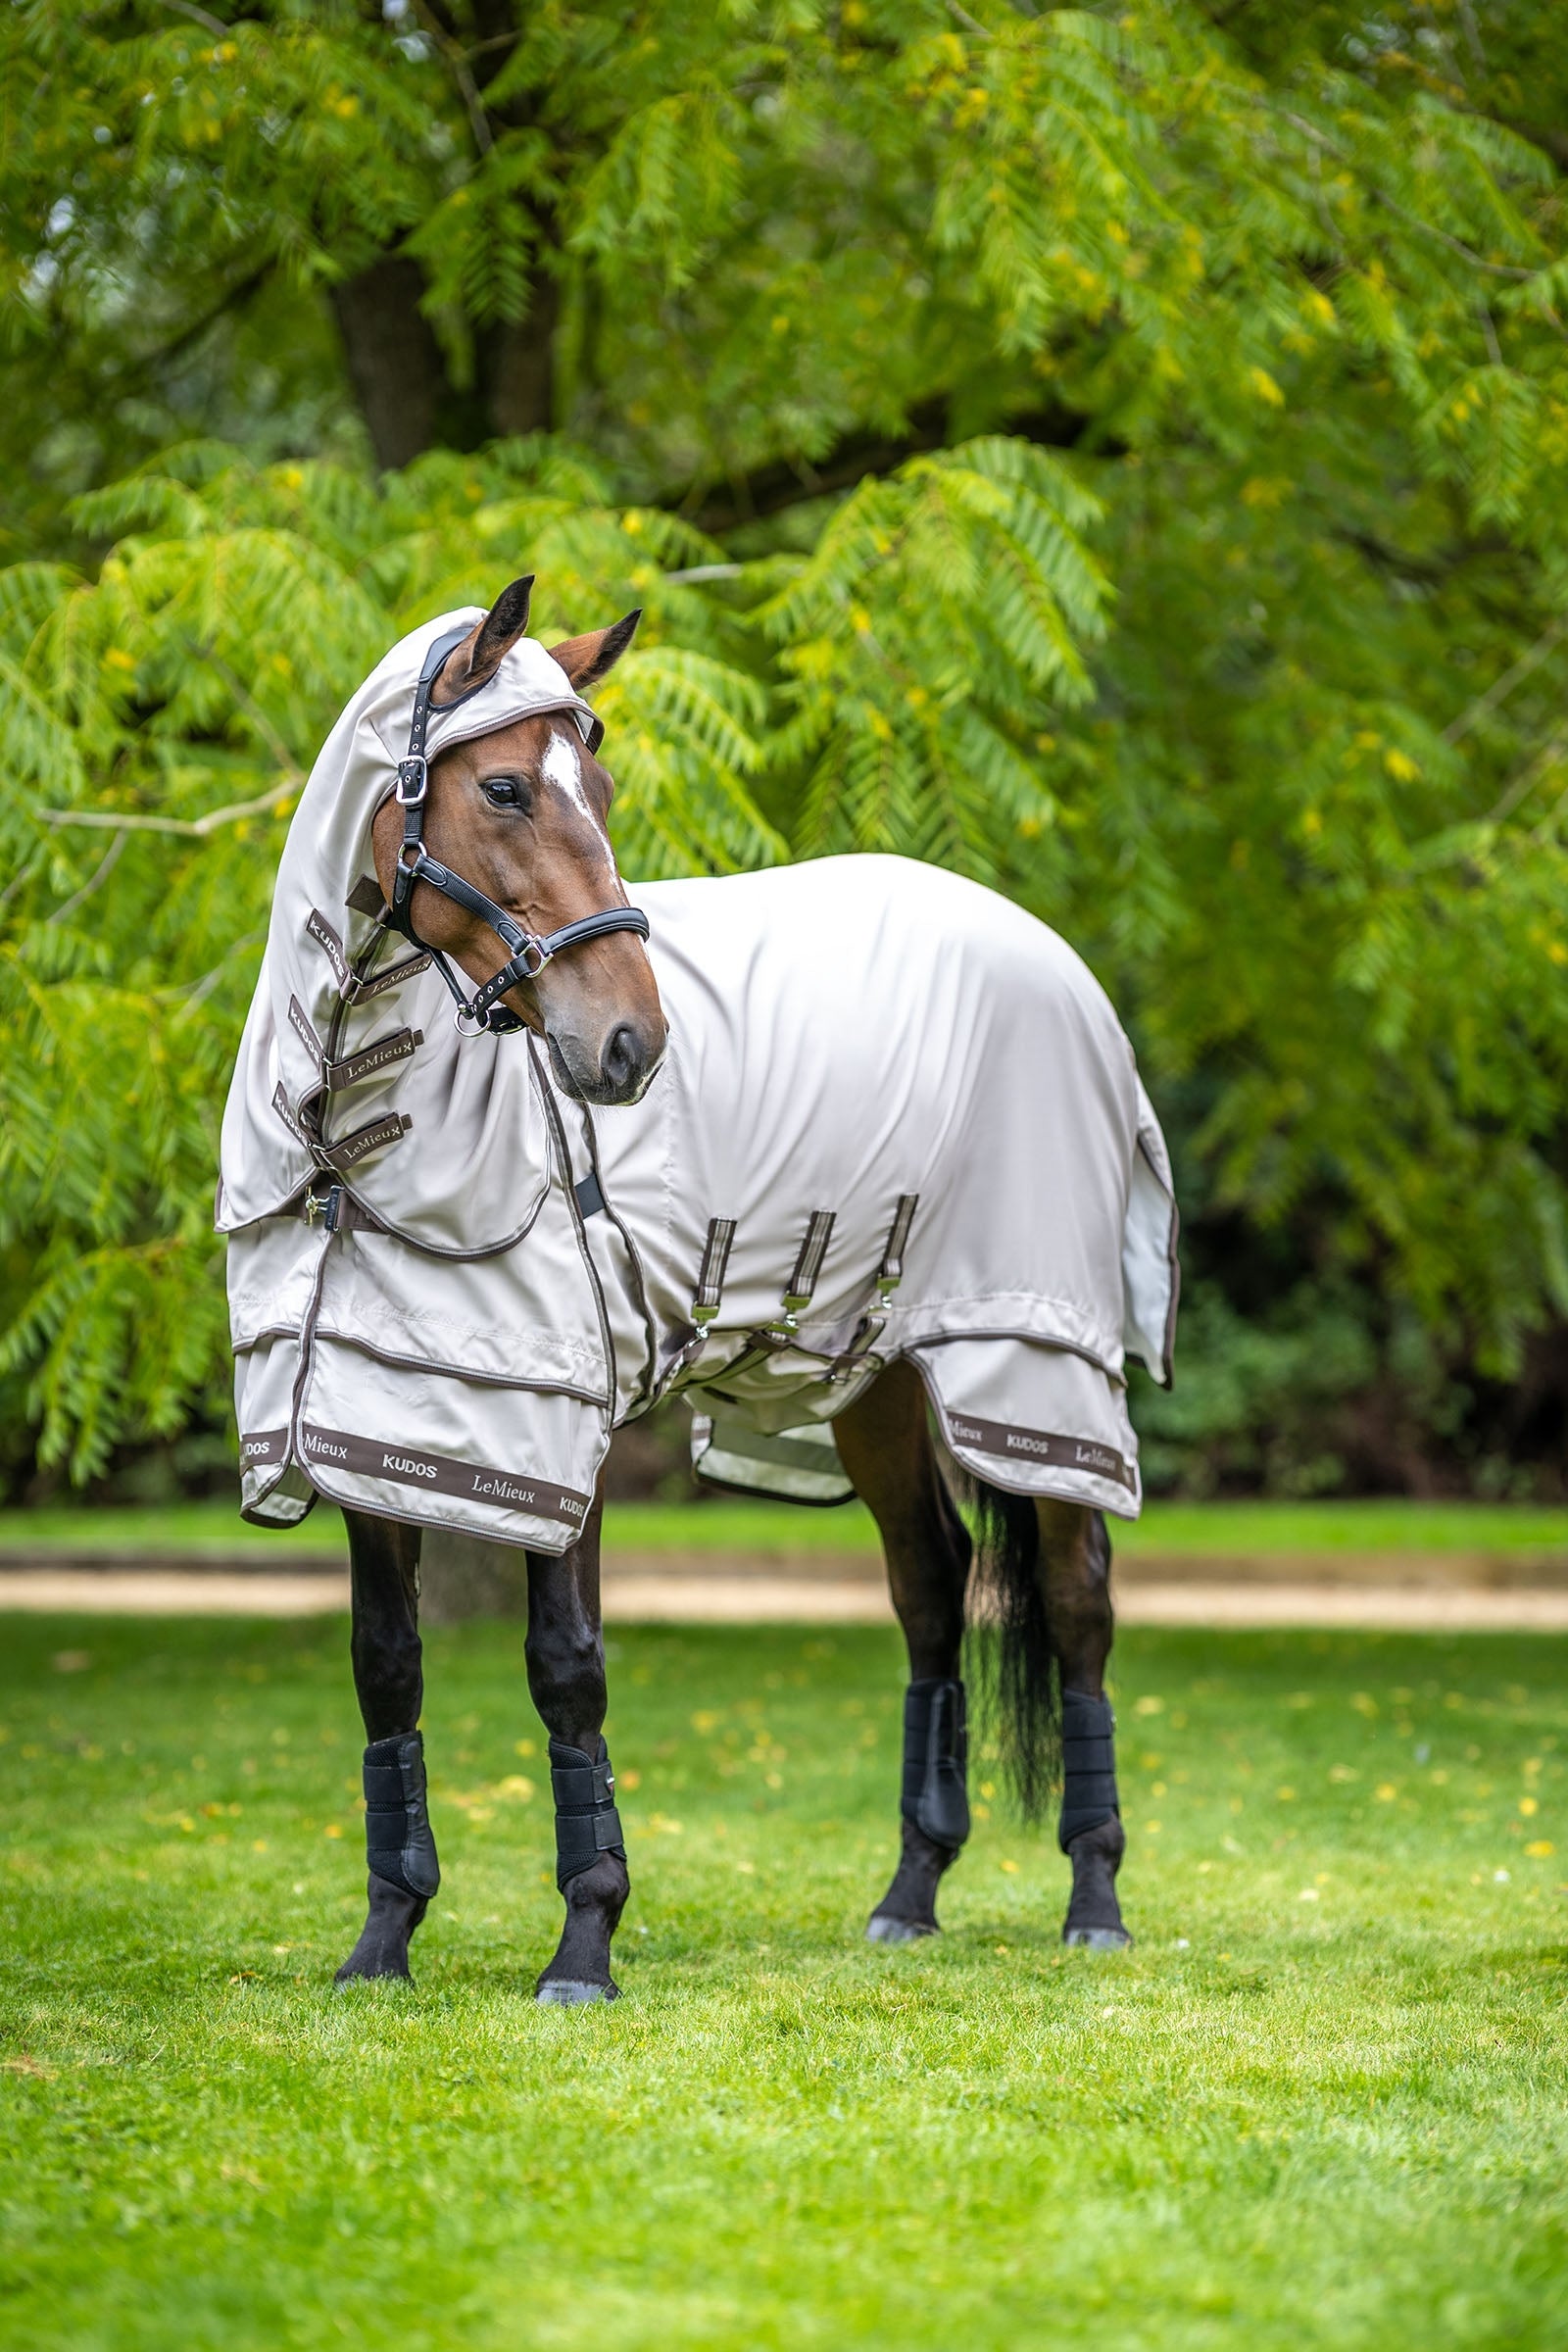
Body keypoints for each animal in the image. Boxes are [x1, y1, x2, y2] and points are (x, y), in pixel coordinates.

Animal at [218, 576, 1177, 2001]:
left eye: (603, 787)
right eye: (505, 788)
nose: (629, 1045)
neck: (366, 1138)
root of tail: (1050, 957)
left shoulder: (554, 1424)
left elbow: (566, 1669)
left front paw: (583, 1943)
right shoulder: (375, 1422)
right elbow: (385, 1669)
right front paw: (383, 1940)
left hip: (1031, 1364)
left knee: (1075, 1599)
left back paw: (1095, 1899)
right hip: (872, 1377)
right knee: (932, 1588)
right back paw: (910, 1892)